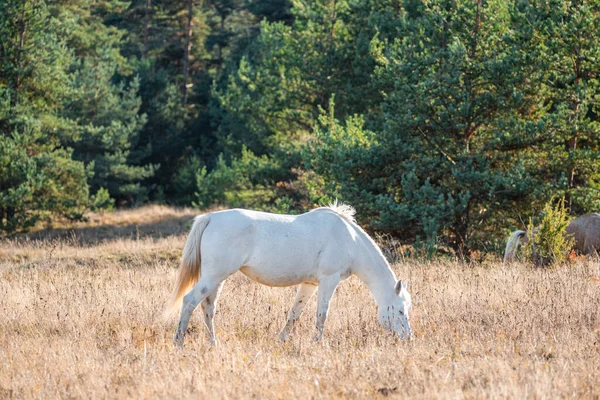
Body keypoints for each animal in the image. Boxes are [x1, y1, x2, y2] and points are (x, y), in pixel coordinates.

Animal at [169, 203, 412, 346]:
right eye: (400, 310)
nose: (408, 338)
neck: (349, 239)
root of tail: (210, 217)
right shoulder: (329, 280)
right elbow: (322, 314)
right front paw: (317, 343)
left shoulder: (310, 284)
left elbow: (295, 313)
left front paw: (281, 340)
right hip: (213, 277)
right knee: (189, 301)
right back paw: (178, 342)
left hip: (217, 278)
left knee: (208, 308)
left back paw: (213, 343)